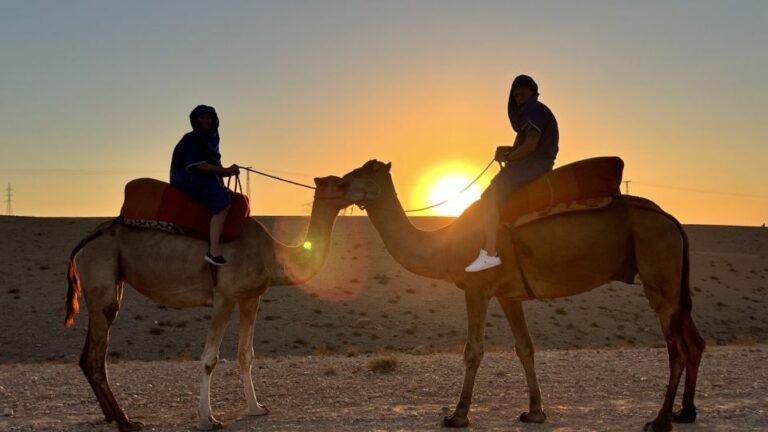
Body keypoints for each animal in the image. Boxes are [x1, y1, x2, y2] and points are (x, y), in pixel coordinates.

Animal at [64, 175, 352, 428]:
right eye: (340, 182)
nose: (354, 187)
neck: (272, 256)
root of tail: (89, 239)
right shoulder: (224, 296)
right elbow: (209, 359)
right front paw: (208, 419)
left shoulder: (251, 297)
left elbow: (246, 354)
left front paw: (256, 408)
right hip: (101, 270)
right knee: (96, 355)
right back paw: (126, 421)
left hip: (112, 279)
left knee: (87, 356)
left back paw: (112, 416)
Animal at [342, 161, 708, 432]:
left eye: (363, 172)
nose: (337, 181)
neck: (445, 245)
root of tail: (671, 219)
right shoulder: (509, 294)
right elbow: (525, 348)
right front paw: (534, 412)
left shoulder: (477, 288)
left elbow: (473, 351)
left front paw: (457, 416)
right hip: (674, 281)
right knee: (694, 341)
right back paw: (685, 413)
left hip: (658, 268)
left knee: (675, 347)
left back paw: (659, 420)